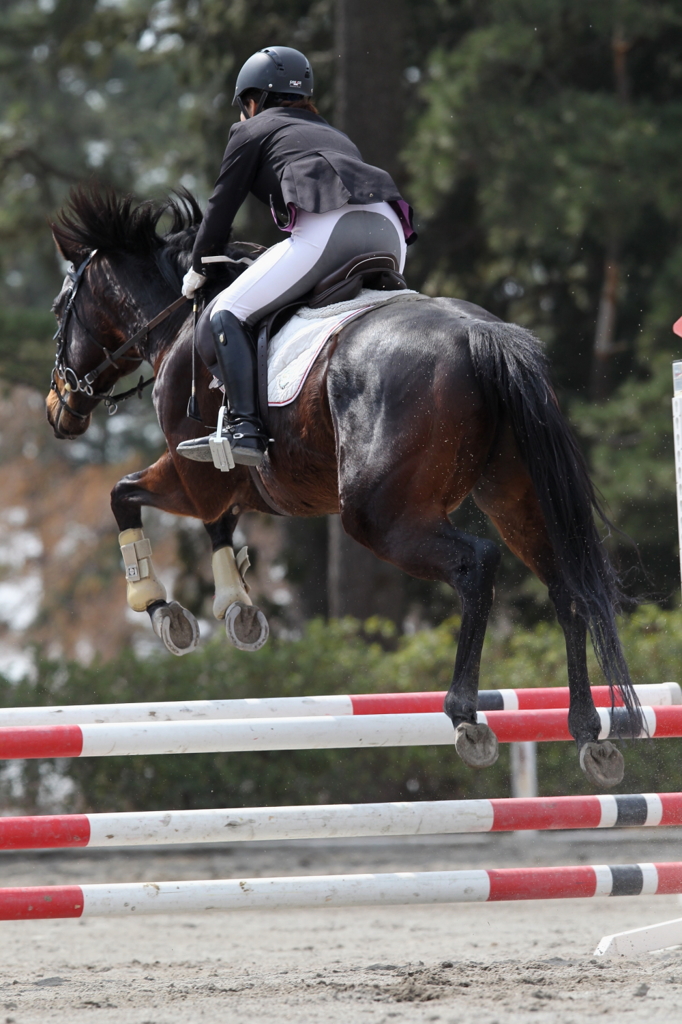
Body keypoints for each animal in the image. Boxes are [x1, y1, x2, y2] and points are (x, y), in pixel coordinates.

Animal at [45, 188, 638, 786]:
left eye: (59, 310)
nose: (57, 410)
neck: (178, 325)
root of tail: (480, 334)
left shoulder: (196, 477)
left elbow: (124, 495)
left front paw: (162, 608)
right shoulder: (233, 483)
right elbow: (216, 524)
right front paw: (239, 609)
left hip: (379, 516)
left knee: (478, 565)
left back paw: (465, 715)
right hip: (516, 498)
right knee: (566, 585)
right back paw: (589, 733)